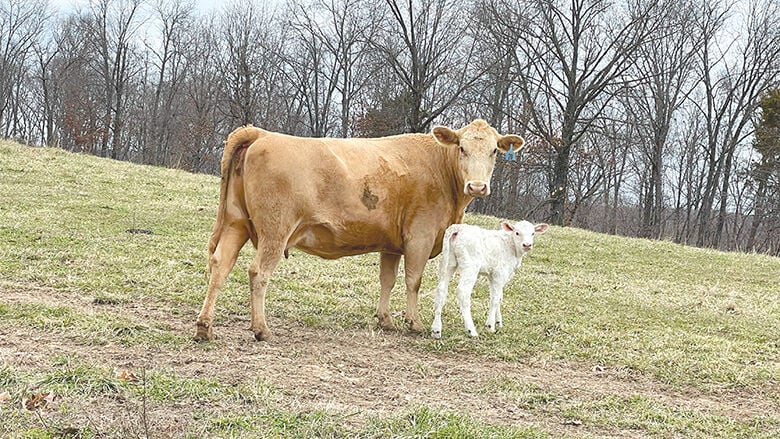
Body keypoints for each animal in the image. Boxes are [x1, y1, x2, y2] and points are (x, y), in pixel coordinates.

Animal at [195, 119, 525, 341]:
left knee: (220, 265)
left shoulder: (392, 244)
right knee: (258, 273)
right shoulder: (420, 235)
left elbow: (387, 280)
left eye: (494, 151)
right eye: (462, 147)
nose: (477, 186)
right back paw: (261, 329)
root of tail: (261, 133)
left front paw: (385, 320)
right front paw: (414, 323)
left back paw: (205, 327)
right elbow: (413, 281)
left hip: (236, 223)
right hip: (275, 230)